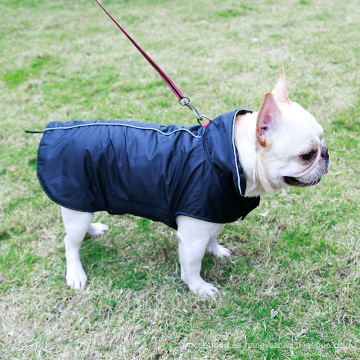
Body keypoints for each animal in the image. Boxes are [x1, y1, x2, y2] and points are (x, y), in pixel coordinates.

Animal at [36, 68, 330, 296]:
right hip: (76, 202)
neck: (230, 158)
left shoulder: (212, 214)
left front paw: (216, 251)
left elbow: (213, 236)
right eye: (307, 155)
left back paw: (93, 230)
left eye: (322, 138)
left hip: (84, 202)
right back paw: (76, 273)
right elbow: (192, 266)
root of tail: (52, 128)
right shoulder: (192, 236)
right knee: (70, 242)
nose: (327, 153)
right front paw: (198, 288)